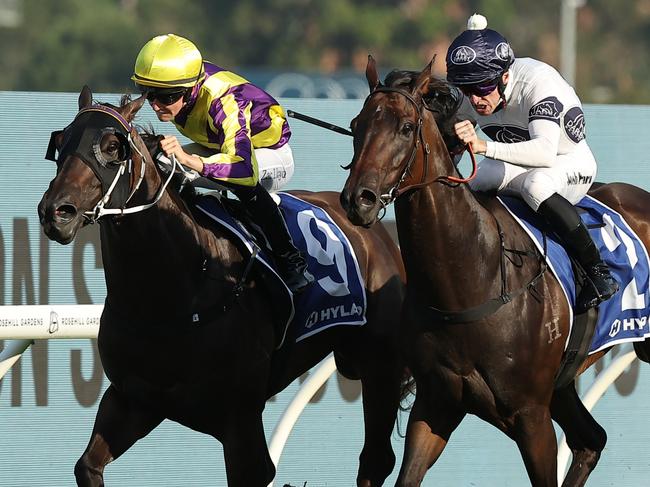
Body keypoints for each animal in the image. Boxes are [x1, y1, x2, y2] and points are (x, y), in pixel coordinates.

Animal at [36, 86, 404, 487]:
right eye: (61, 142)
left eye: (111, 147)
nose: (57, 212)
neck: (170, 296)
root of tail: (372, 227)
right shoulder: (132, 400)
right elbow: (87, 465)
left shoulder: (240, 422)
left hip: (380, 363)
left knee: (377, 459)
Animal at [340, 58, 648, 487]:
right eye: (357, 125)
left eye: (405, 127)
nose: (359, 200)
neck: (472, 280)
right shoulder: (436, 405)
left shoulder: (531, 418)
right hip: (562, 385)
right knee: (591, 440)